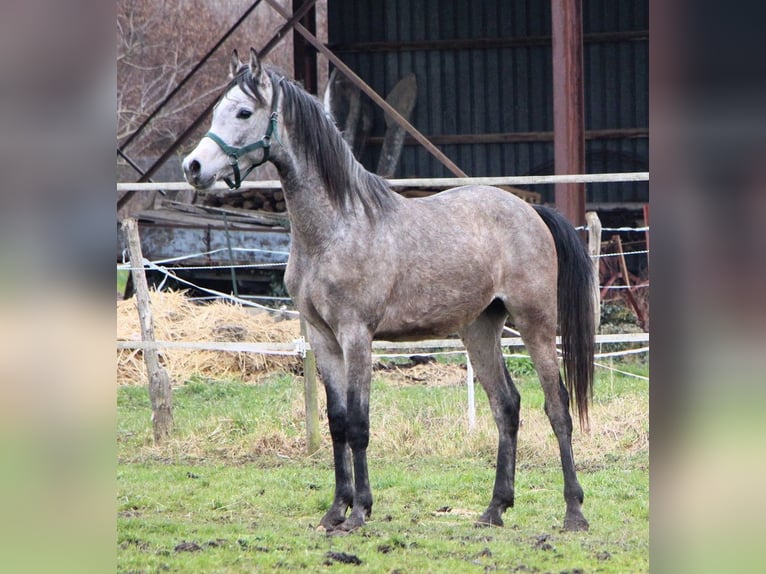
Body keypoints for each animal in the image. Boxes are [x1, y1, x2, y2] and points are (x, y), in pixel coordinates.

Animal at [183, 48, 596, 536]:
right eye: (217, 110)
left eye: (244, 113)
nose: (193, 168)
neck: (336, 227)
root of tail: (531, 211)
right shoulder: (323, 340)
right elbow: (337, 423)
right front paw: (335, 511)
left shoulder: (356, 336)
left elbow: (360, 425)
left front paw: (361, 511)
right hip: (479, 329)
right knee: (506, 406)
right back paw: (495, 508)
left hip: (536, 324)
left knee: (557, 407)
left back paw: (574, 512)